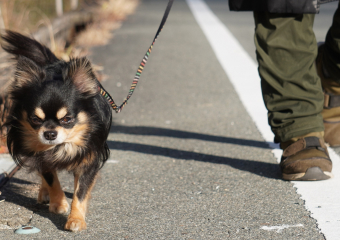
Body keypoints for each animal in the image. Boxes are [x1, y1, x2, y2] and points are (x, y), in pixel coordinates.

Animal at [1, 31, 112, 232]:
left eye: (67, 119)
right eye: (35, 119)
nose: (50, 134)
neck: (62, 146)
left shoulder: (88, 159)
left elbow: (80, 192)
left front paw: (76, 219)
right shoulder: (41, 156)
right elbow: (51, 178)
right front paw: (58, 203)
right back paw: (45, 194)